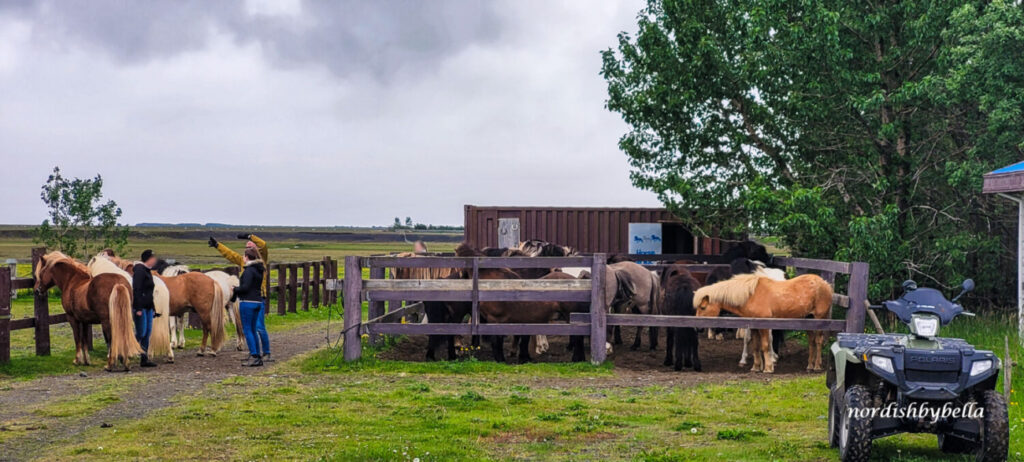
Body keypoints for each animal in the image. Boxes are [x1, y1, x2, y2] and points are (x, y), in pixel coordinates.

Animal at [692, 274, 835, 372]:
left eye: (703, 307)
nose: (696, 328)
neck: (751, 295)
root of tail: (825, 284)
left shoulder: (764, 326)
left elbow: (765, 346)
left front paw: (768, 368)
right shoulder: (754, 326)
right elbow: (756, 347)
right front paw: (756, 367)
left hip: (819, 319)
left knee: (818, 341)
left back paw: (817, 366)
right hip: (808, 320)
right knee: (811, 342)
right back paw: (810, 365)